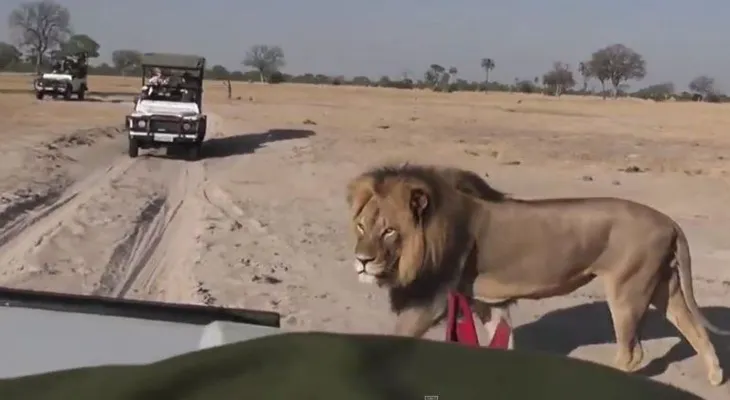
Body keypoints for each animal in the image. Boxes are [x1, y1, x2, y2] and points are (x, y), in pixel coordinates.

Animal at [345, 163, 729, 386]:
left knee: (632, 354)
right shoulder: (487, 301)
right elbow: (502, 342)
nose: (361, 261)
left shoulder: (432, 299)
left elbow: (398, 337)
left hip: (627, 292)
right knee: (694, 330)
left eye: (389, 231)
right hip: (663, 286)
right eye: (361, 226)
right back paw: (715, 377)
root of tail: (670, 221)